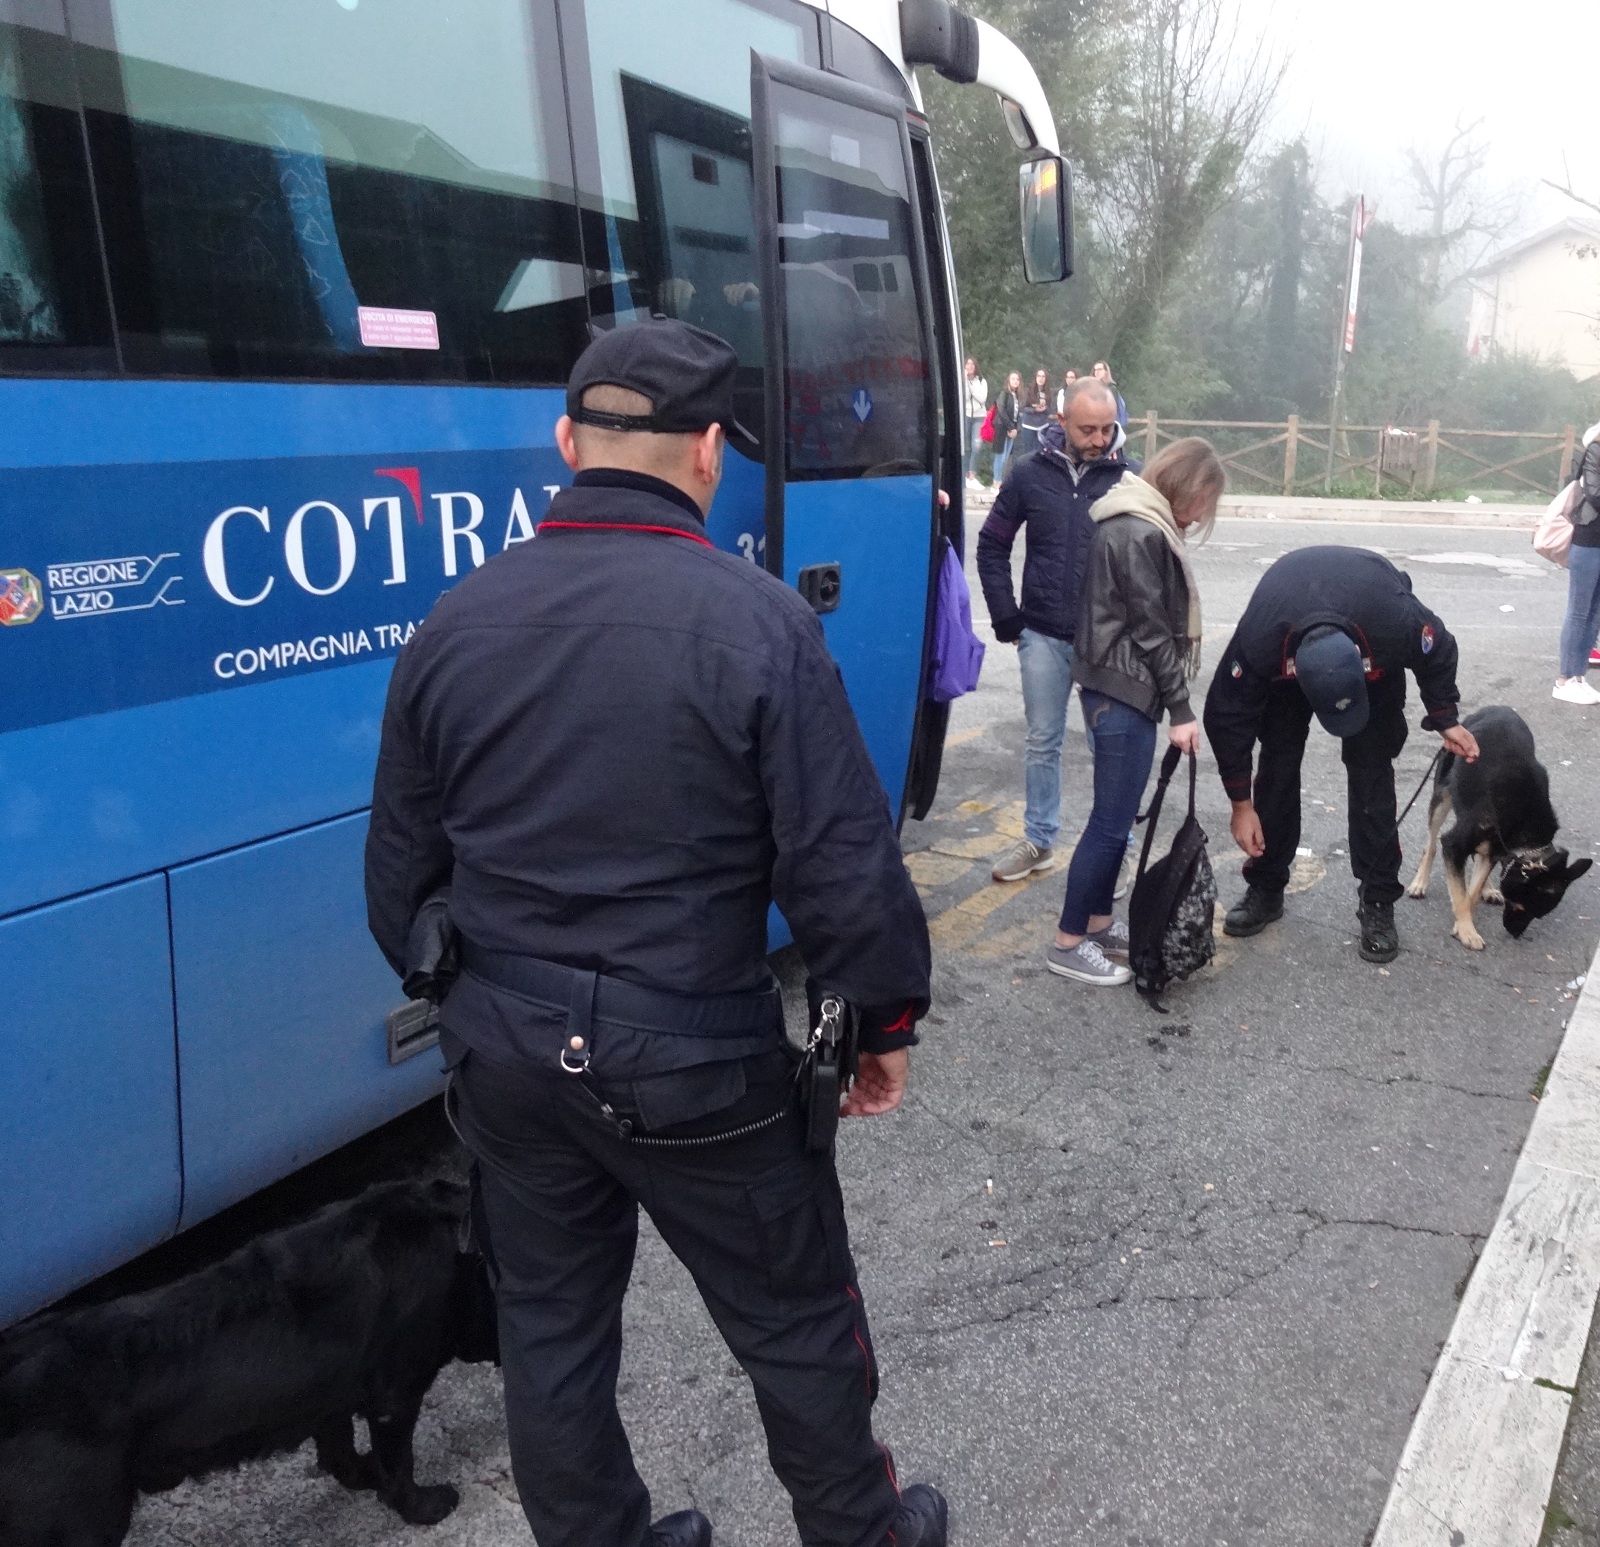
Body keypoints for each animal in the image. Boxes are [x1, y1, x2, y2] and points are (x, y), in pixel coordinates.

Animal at [0, 1177, 499, 1542]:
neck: (457, 1242)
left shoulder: (332, 1391)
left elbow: (338, 1445)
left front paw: (362, 1473)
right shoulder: (395, 1397)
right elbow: (399, 1463)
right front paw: (422, 1506)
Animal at [1408, 707, 1593, 947]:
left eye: (1534, 913)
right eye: (1523, 906)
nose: (1515, 934)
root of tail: (1495, 707)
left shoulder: (1495, 851)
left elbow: (1472, 892)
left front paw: (1463, 924)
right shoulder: (1454, 846)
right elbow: (1461, 893)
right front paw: (1467, 930)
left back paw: (1487, 889)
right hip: (1442, 796)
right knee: (1430, 844)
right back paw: (1420, 882)